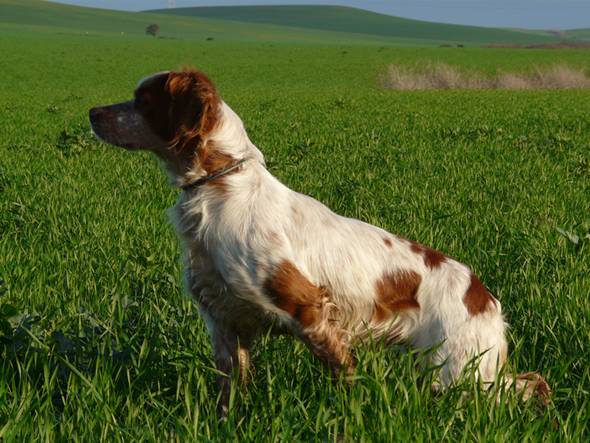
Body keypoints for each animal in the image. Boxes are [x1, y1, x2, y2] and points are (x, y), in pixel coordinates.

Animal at [90, 67, 552, 414]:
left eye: (143, 99)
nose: (92, 111)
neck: (220, 187)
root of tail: (483, 294)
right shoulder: (225, 322)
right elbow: (231, 389)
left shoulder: (307, 308)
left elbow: (344, 376)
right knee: (531, 382)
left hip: (455, 370)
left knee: (526, 386)